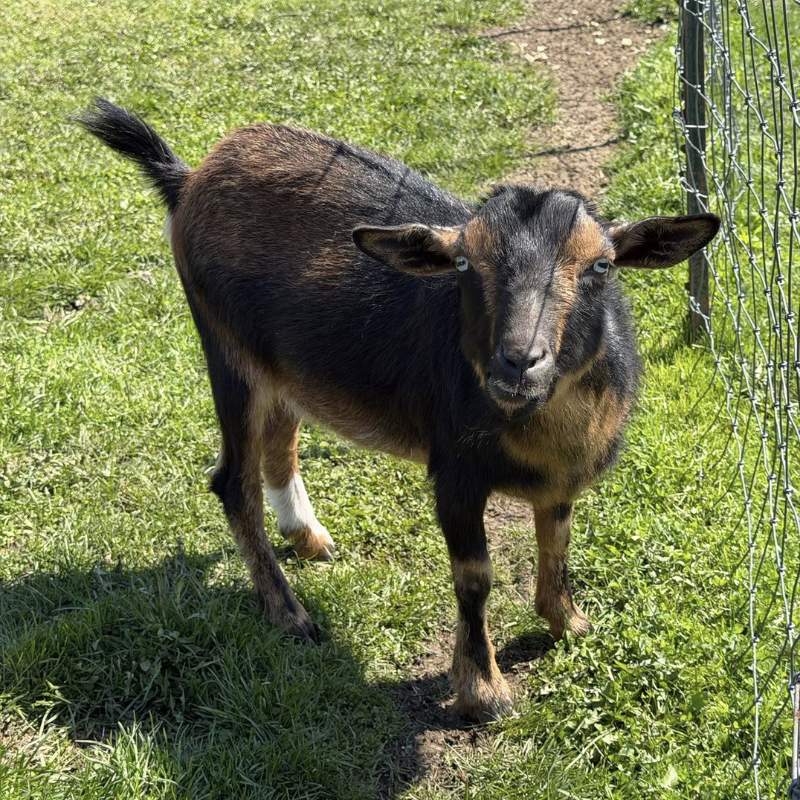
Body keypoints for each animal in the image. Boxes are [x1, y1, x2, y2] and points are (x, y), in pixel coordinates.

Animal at [78, 98, 719, 720]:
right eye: (464, 265)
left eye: (600, 265)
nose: (518, 362)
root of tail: (188, 178)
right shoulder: (455, 472)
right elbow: (475, 578)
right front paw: (483, 690)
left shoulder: (560, 479)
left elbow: (557, 544)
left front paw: (569, 623)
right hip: (226, 348)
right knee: (233, 481)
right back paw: (290, 615)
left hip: (284, 366)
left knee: (279, 439)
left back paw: (308, 538)